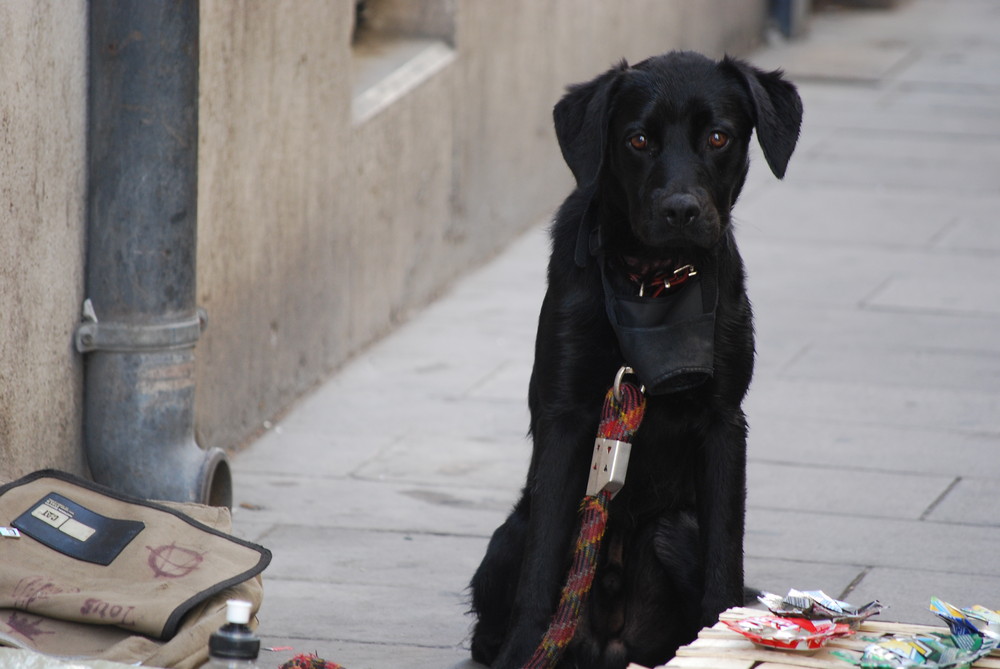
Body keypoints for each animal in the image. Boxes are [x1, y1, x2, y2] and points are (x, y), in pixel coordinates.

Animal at [468, 49, 804, 664]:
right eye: (638, 140)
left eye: (719, 137)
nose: (680, 210)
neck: (652, 286)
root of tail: (610, 644)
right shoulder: (566, 419)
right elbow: (543, 566)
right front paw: (526, 651)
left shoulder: (724, 421)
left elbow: (725, 557)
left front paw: (721, 637)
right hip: (508, 536)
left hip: (675, 530)